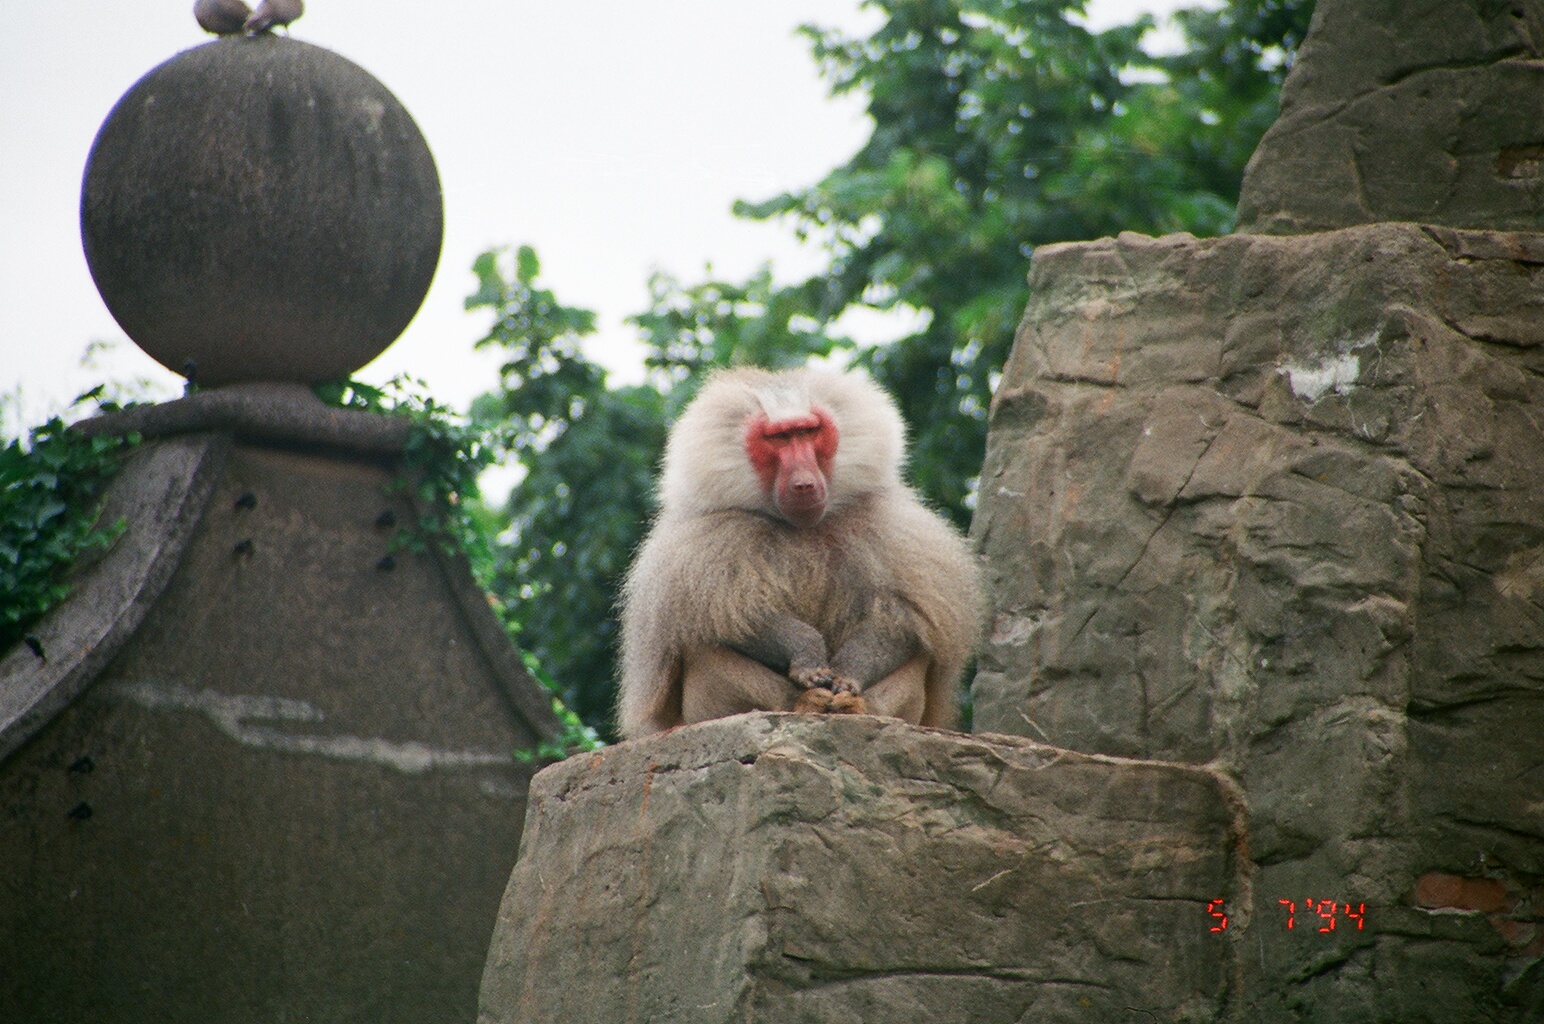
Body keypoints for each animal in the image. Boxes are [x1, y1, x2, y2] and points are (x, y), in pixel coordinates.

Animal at [617, 366, 981, 739]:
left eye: (808, 432)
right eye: (778, 438)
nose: (804, 484)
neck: (803, 530)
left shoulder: (892, 531)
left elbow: (906, 620)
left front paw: (849, 673)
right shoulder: (701, 546)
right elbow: (730, 616)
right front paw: (807, 656)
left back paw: (855, 708)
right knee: (704, 644)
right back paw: (804, 704)